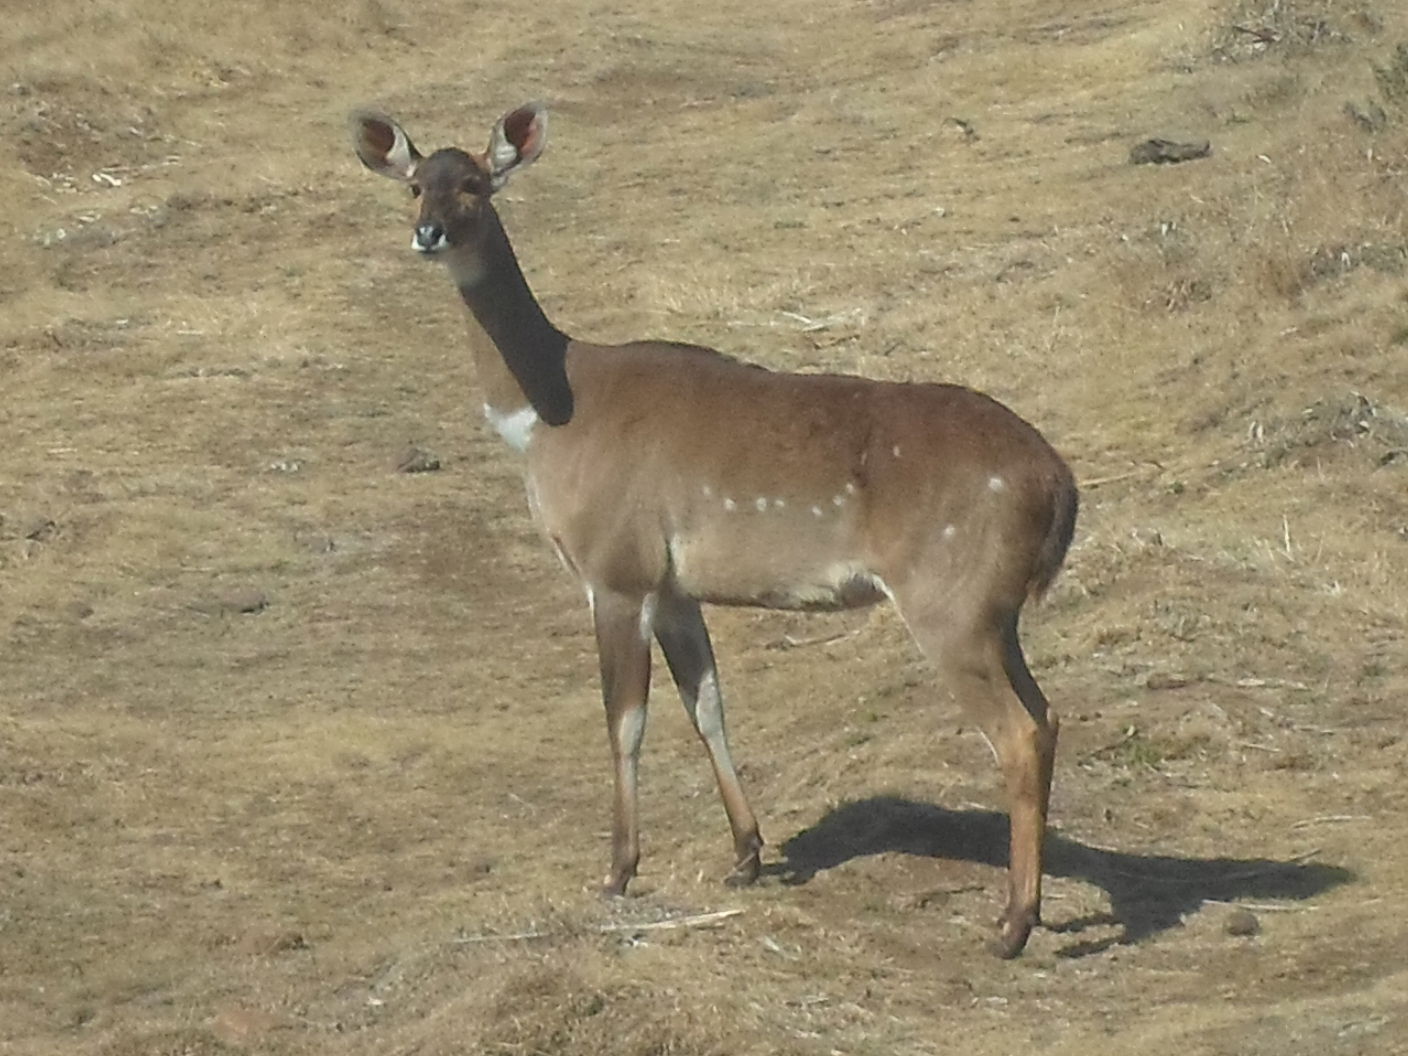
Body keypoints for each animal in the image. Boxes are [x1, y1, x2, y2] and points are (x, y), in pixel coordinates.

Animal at [349, 101, 1075, 957]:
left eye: (474, 184)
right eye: (414, 185)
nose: (429, 233)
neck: (551, 414)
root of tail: (1057, 484)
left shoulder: (616, 568)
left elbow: (624, 720)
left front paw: (617, 872)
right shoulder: (675, 586)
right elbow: (708, 705)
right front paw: (746, 857)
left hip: (949, 604)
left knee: (1017, 733)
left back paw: (1011, 925)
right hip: (995, 614)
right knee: (1046, 717)